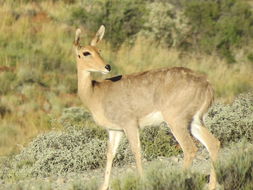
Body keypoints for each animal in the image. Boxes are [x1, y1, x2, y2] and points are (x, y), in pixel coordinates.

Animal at [73, 25, 219, 190]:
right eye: (86, 52)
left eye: (99, 50)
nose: (107, 66)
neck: (95, 94)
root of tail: (207, 84)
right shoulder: (114, 130)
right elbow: (110, 154)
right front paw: (103, 186)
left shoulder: (130, 124)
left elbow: (136, 150)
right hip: (194, 121)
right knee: (213, 144)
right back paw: (212, 185)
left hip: (176, 121)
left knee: (190, 149)